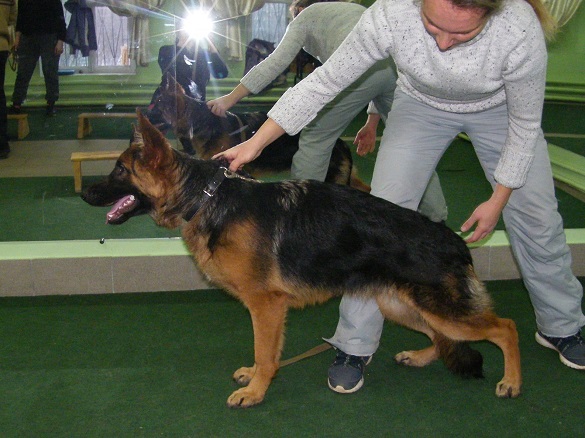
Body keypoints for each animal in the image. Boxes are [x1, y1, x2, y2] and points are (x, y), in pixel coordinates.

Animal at [81, 113, 520, 408]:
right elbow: (265, 354)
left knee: (505, 328)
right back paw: (419, 356)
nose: (84, 192)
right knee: (438, 336)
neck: (206, 197)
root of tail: (455, 241)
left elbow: (265, 353)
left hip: (443, 311)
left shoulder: (266, 306)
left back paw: (512, 381)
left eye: (119, 170)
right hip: (402, 305)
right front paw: (255, 379)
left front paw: (255, 391)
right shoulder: (268, 310)